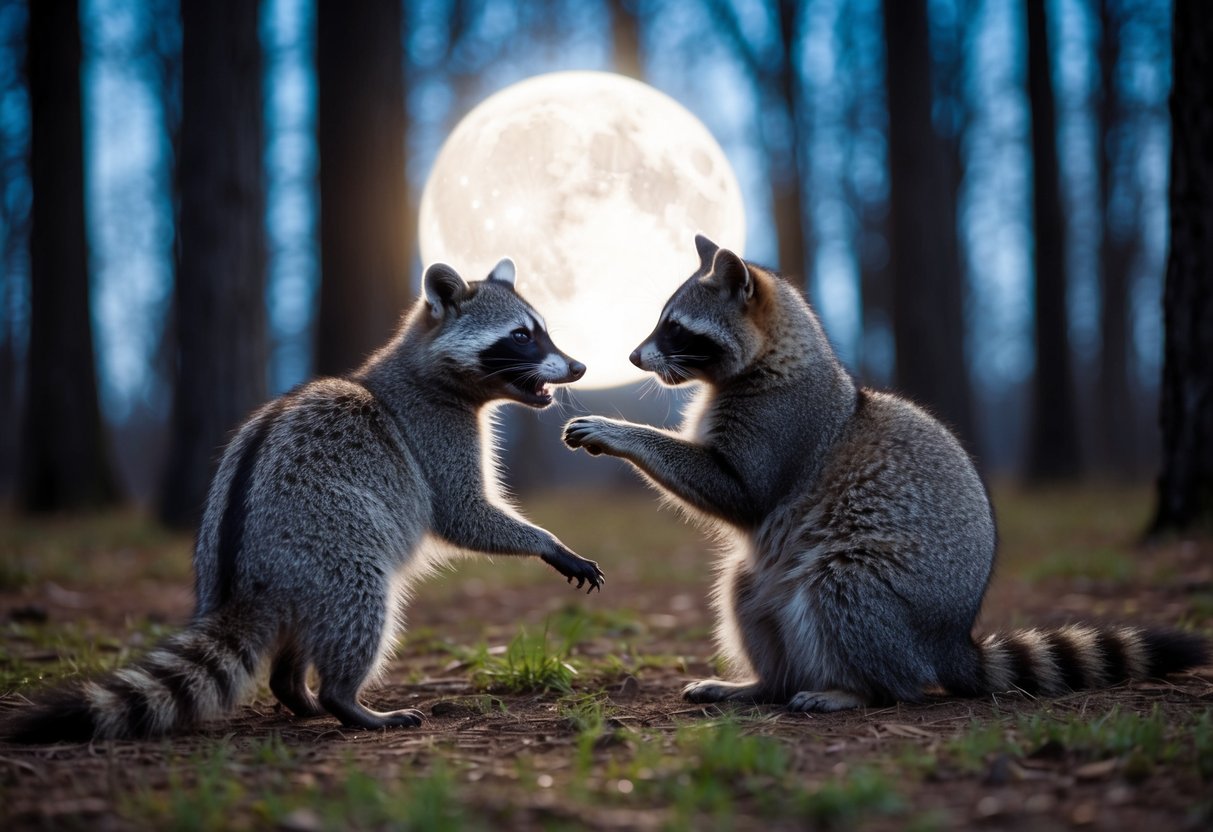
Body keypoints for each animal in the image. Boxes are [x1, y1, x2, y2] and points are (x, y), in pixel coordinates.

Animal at [3, 259, 603, 742]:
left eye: (542, 333)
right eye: (521, 336)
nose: (578, 367)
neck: (423, 371)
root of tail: (242, 582)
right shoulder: (432, 434)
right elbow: (463, 514)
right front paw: (547, 543)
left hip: (297, 580)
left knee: (298, 642)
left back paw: (297, 691)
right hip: (331, 549)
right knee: (364, 606)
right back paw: (346, 700)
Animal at [564, 234, 1206, 712]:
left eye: (675, 329)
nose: (632, 357)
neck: (776, 356)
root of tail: (950, 637)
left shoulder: (785, 423)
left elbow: (739, 491)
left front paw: (622, 434)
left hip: (887, 597)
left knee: (842, 592)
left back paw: (859, 690)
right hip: (782, 586)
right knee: (742, 588)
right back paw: (765, 682)